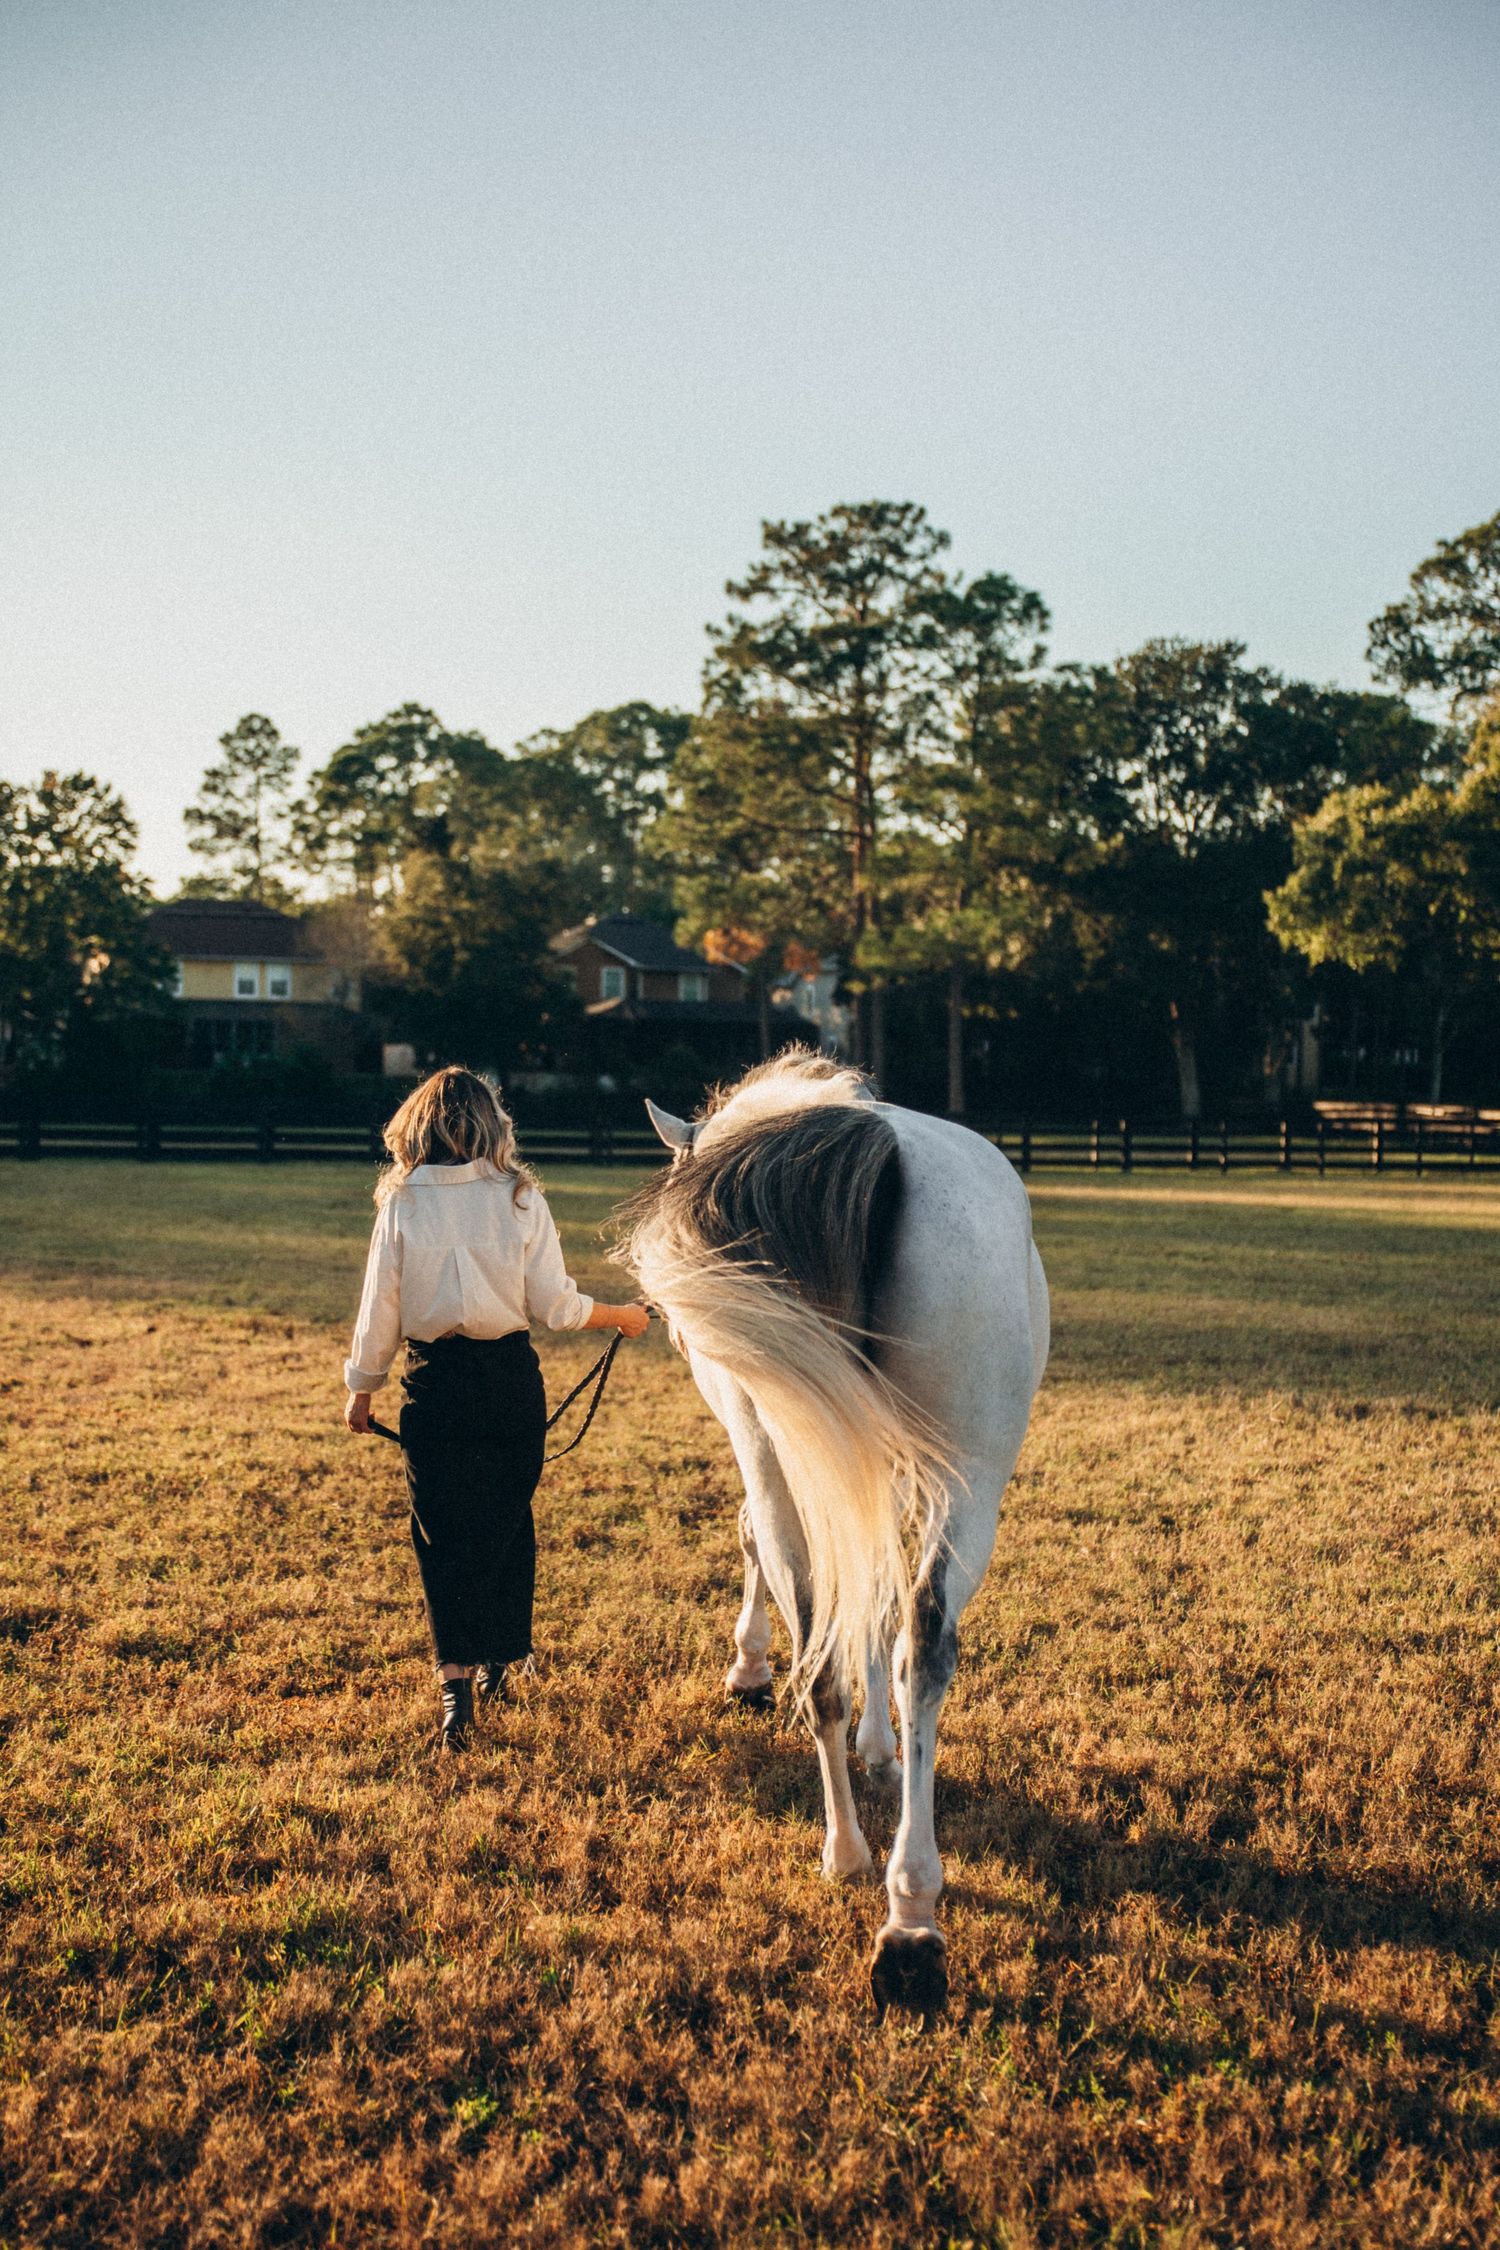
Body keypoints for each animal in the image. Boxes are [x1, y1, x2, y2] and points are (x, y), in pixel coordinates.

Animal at [617, 1049, 1049, 2023]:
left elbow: (775, 1555)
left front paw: (749, 1667)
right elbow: (877, 1600)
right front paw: (881, 1748)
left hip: (781, 1442)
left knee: (811, 1612)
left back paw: (853, 1859)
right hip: (966, 1470)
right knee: (918, 1637)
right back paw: (910, 1916)